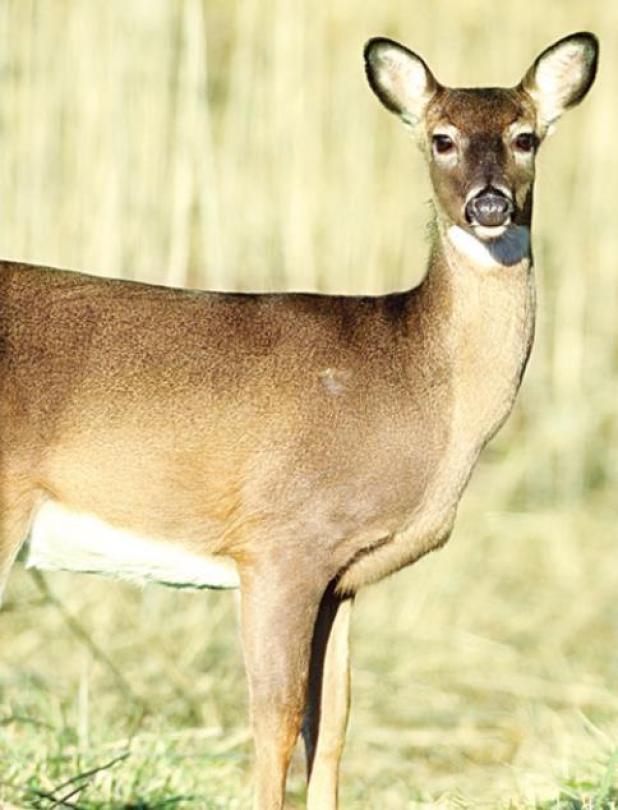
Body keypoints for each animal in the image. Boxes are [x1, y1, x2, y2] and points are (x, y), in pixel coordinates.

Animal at [0, 30, 598, 810]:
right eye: (441, 138)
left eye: (525, 136)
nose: (490, 204)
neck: (415, 381)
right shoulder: (282, 540)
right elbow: (276, 721)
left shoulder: (342, 575)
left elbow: (333, 724)